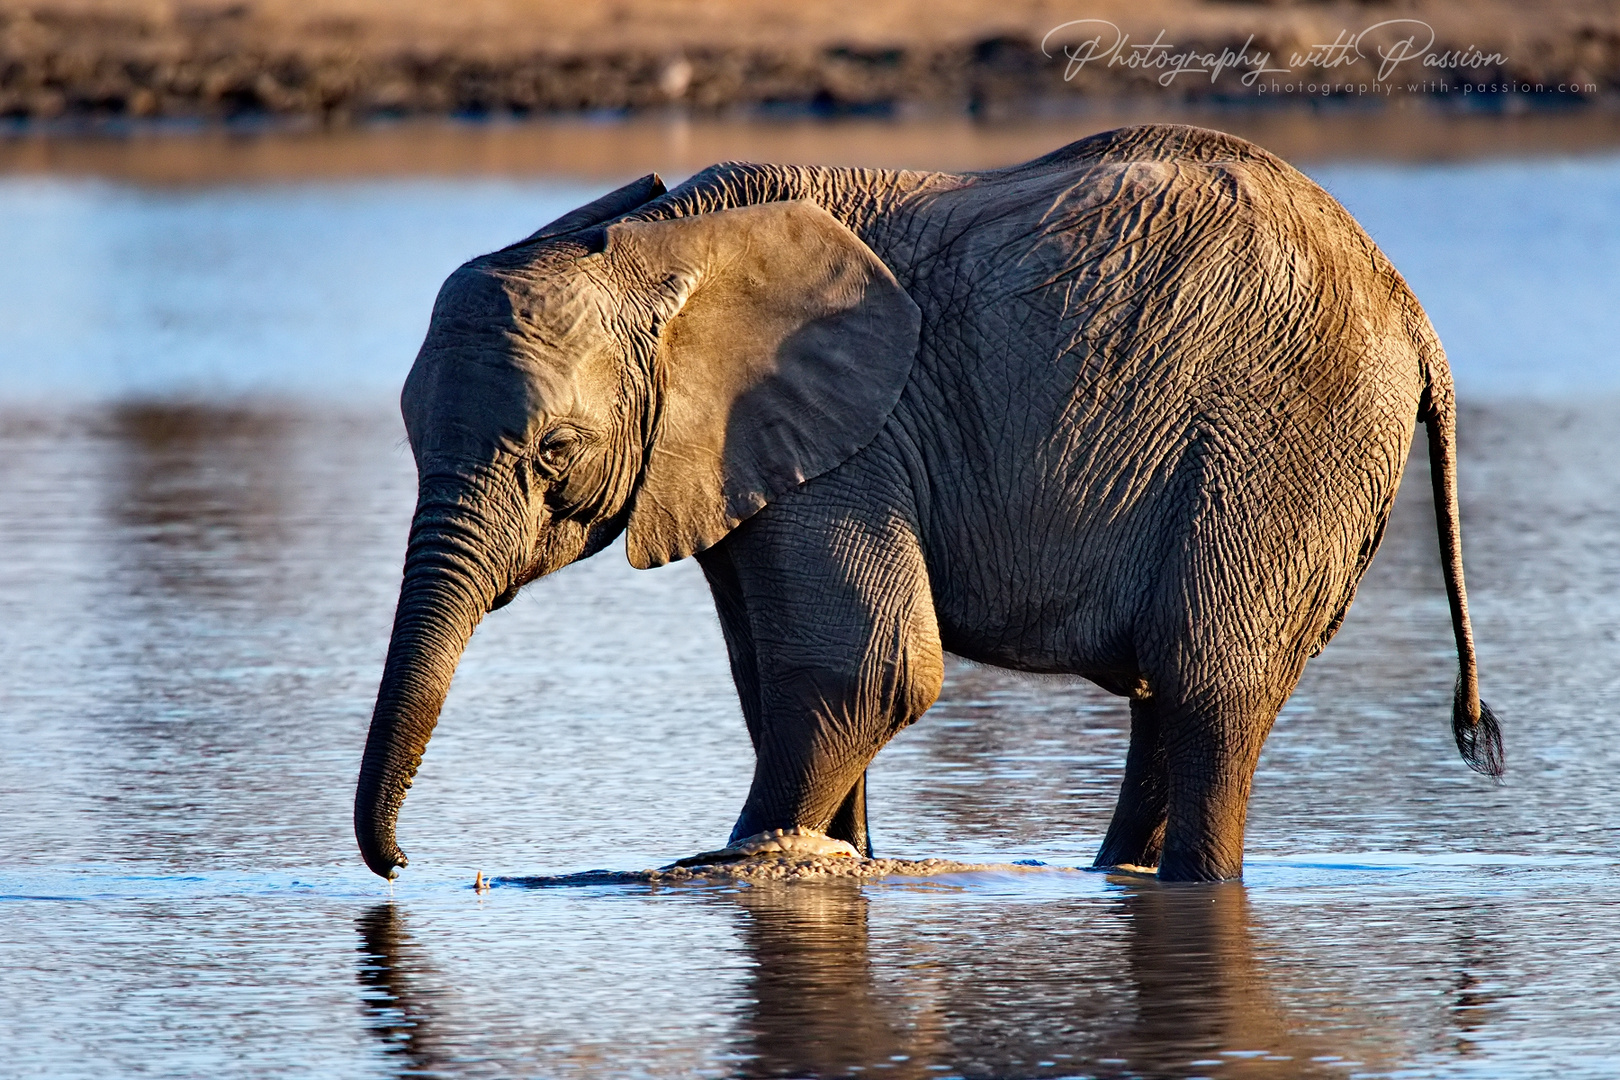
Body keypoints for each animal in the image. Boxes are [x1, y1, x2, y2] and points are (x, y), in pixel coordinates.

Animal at [354, 124, 1503, 887]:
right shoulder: (748, 459)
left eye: (556, 451)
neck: (660, 244)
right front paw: (840, 857)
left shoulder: (854, 439)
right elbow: (778, 683)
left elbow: (865, 670)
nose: (407, 865)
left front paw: (753, 864)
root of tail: (1413, 313)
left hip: (1284, 442)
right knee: (1164, 700)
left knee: (1207, 687)